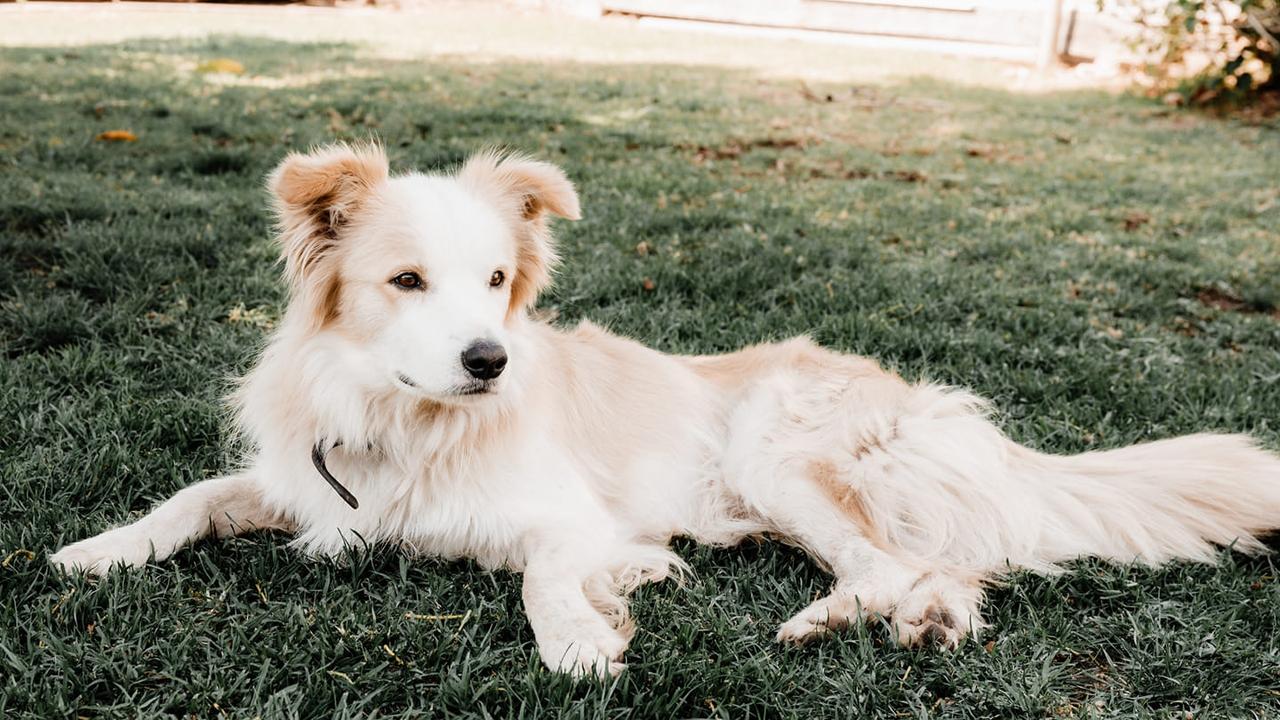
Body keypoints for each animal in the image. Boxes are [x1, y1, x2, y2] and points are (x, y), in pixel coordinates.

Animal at [52, 144, 1280, 671]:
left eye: (494, 279)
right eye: (406, 281)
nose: (492, 360)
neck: (405, 423)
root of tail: (919, 399)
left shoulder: (570, 519)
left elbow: (548, 572)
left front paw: (583, 637)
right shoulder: (304, 487)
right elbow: (190, 497)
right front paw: (96, 549)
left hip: (778, 458)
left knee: (901, 562)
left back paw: (849, 620)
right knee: (940, 570)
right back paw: (902, 621)